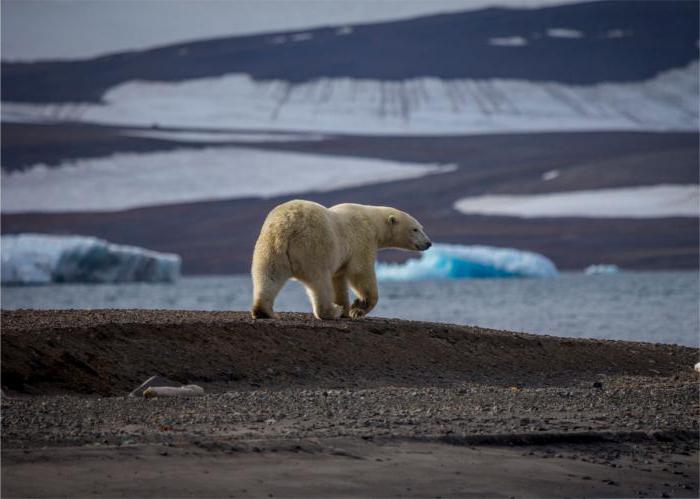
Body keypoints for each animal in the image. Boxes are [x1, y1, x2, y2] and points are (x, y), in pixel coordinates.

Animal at [249, 202, 430, 322]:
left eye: (422, 227)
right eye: (415, 229)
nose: (428, 243)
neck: (372, 220)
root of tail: (287, 226)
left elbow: (339, 279)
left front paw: (346, 309)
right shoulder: (362, 239)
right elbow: (360, 271)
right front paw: (358, 308)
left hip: (269, 246)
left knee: (268, 275)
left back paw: (263, 311)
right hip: (314, 246)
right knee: (320, 282)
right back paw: (331, 311)